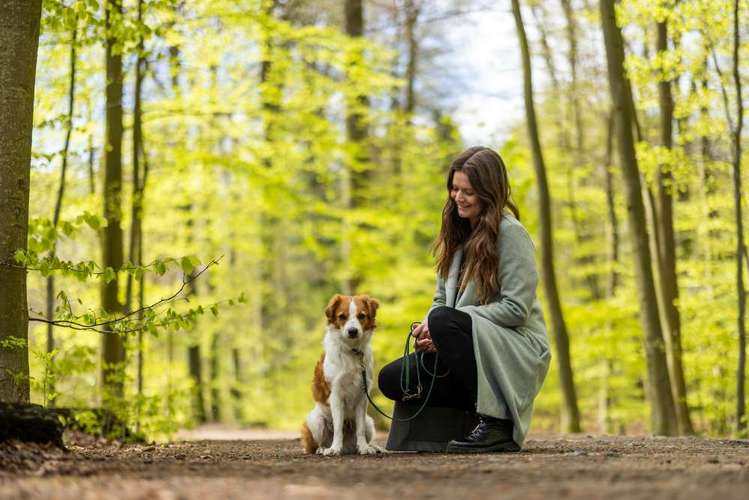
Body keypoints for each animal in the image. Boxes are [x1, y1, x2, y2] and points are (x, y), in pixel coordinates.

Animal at [300, 292, 380, 458]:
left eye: (361, 316)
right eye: (342, 316)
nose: (352, 331)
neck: (352, 351)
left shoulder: (362, 396)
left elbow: (360, 429)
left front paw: (364, 448)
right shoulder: (335, 395)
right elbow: (337, 427)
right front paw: (335, 448)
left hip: (369, 423)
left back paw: (370, 446)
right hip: (315, 421)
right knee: (315, 445)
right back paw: (323, 448)